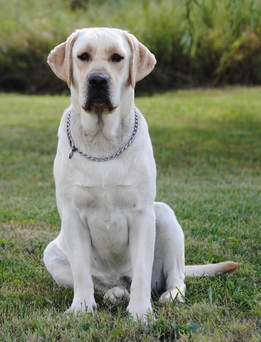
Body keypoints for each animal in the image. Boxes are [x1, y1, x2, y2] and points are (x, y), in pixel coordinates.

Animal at [43, 28, 238, 322]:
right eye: (83, 56)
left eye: (117, 57)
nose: (97, 80)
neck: (102, 142)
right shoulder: (72, 214)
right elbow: (81, 272)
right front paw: (81, 308)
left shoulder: (142, 214)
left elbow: (143, 273)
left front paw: (140, 313)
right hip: (52, 253)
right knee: (102, 282)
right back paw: (114, 292)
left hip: (164, 215)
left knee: (175, 277)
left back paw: (170, 295)